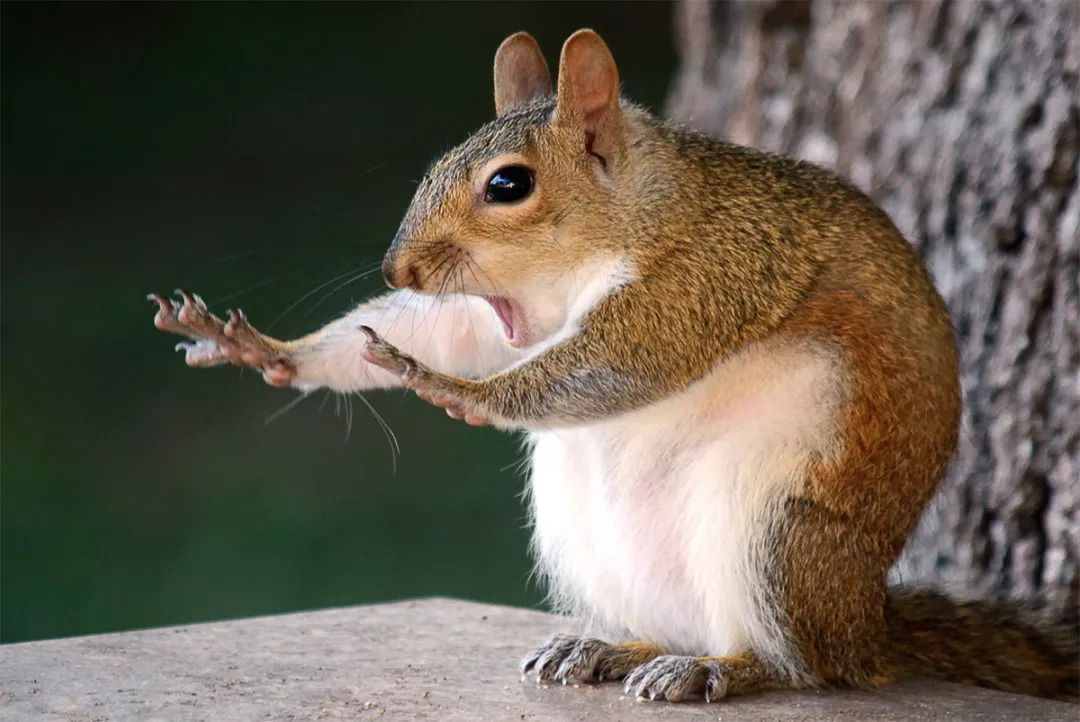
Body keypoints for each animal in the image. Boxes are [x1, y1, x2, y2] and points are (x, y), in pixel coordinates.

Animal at [150, 31, 1080, 699]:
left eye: (509, 185)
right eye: (437, 164)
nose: (398, 270)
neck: (632, 216)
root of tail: (867, 626)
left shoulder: (713, 272)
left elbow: (621, 362)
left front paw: (455, 390)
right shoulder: (501, 314)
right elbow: (447, 332)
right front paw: (266, 349)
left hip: (779, 533)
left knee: (806, 667)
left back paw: (723, 669)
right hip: (588, 537)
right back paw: (607, 649)